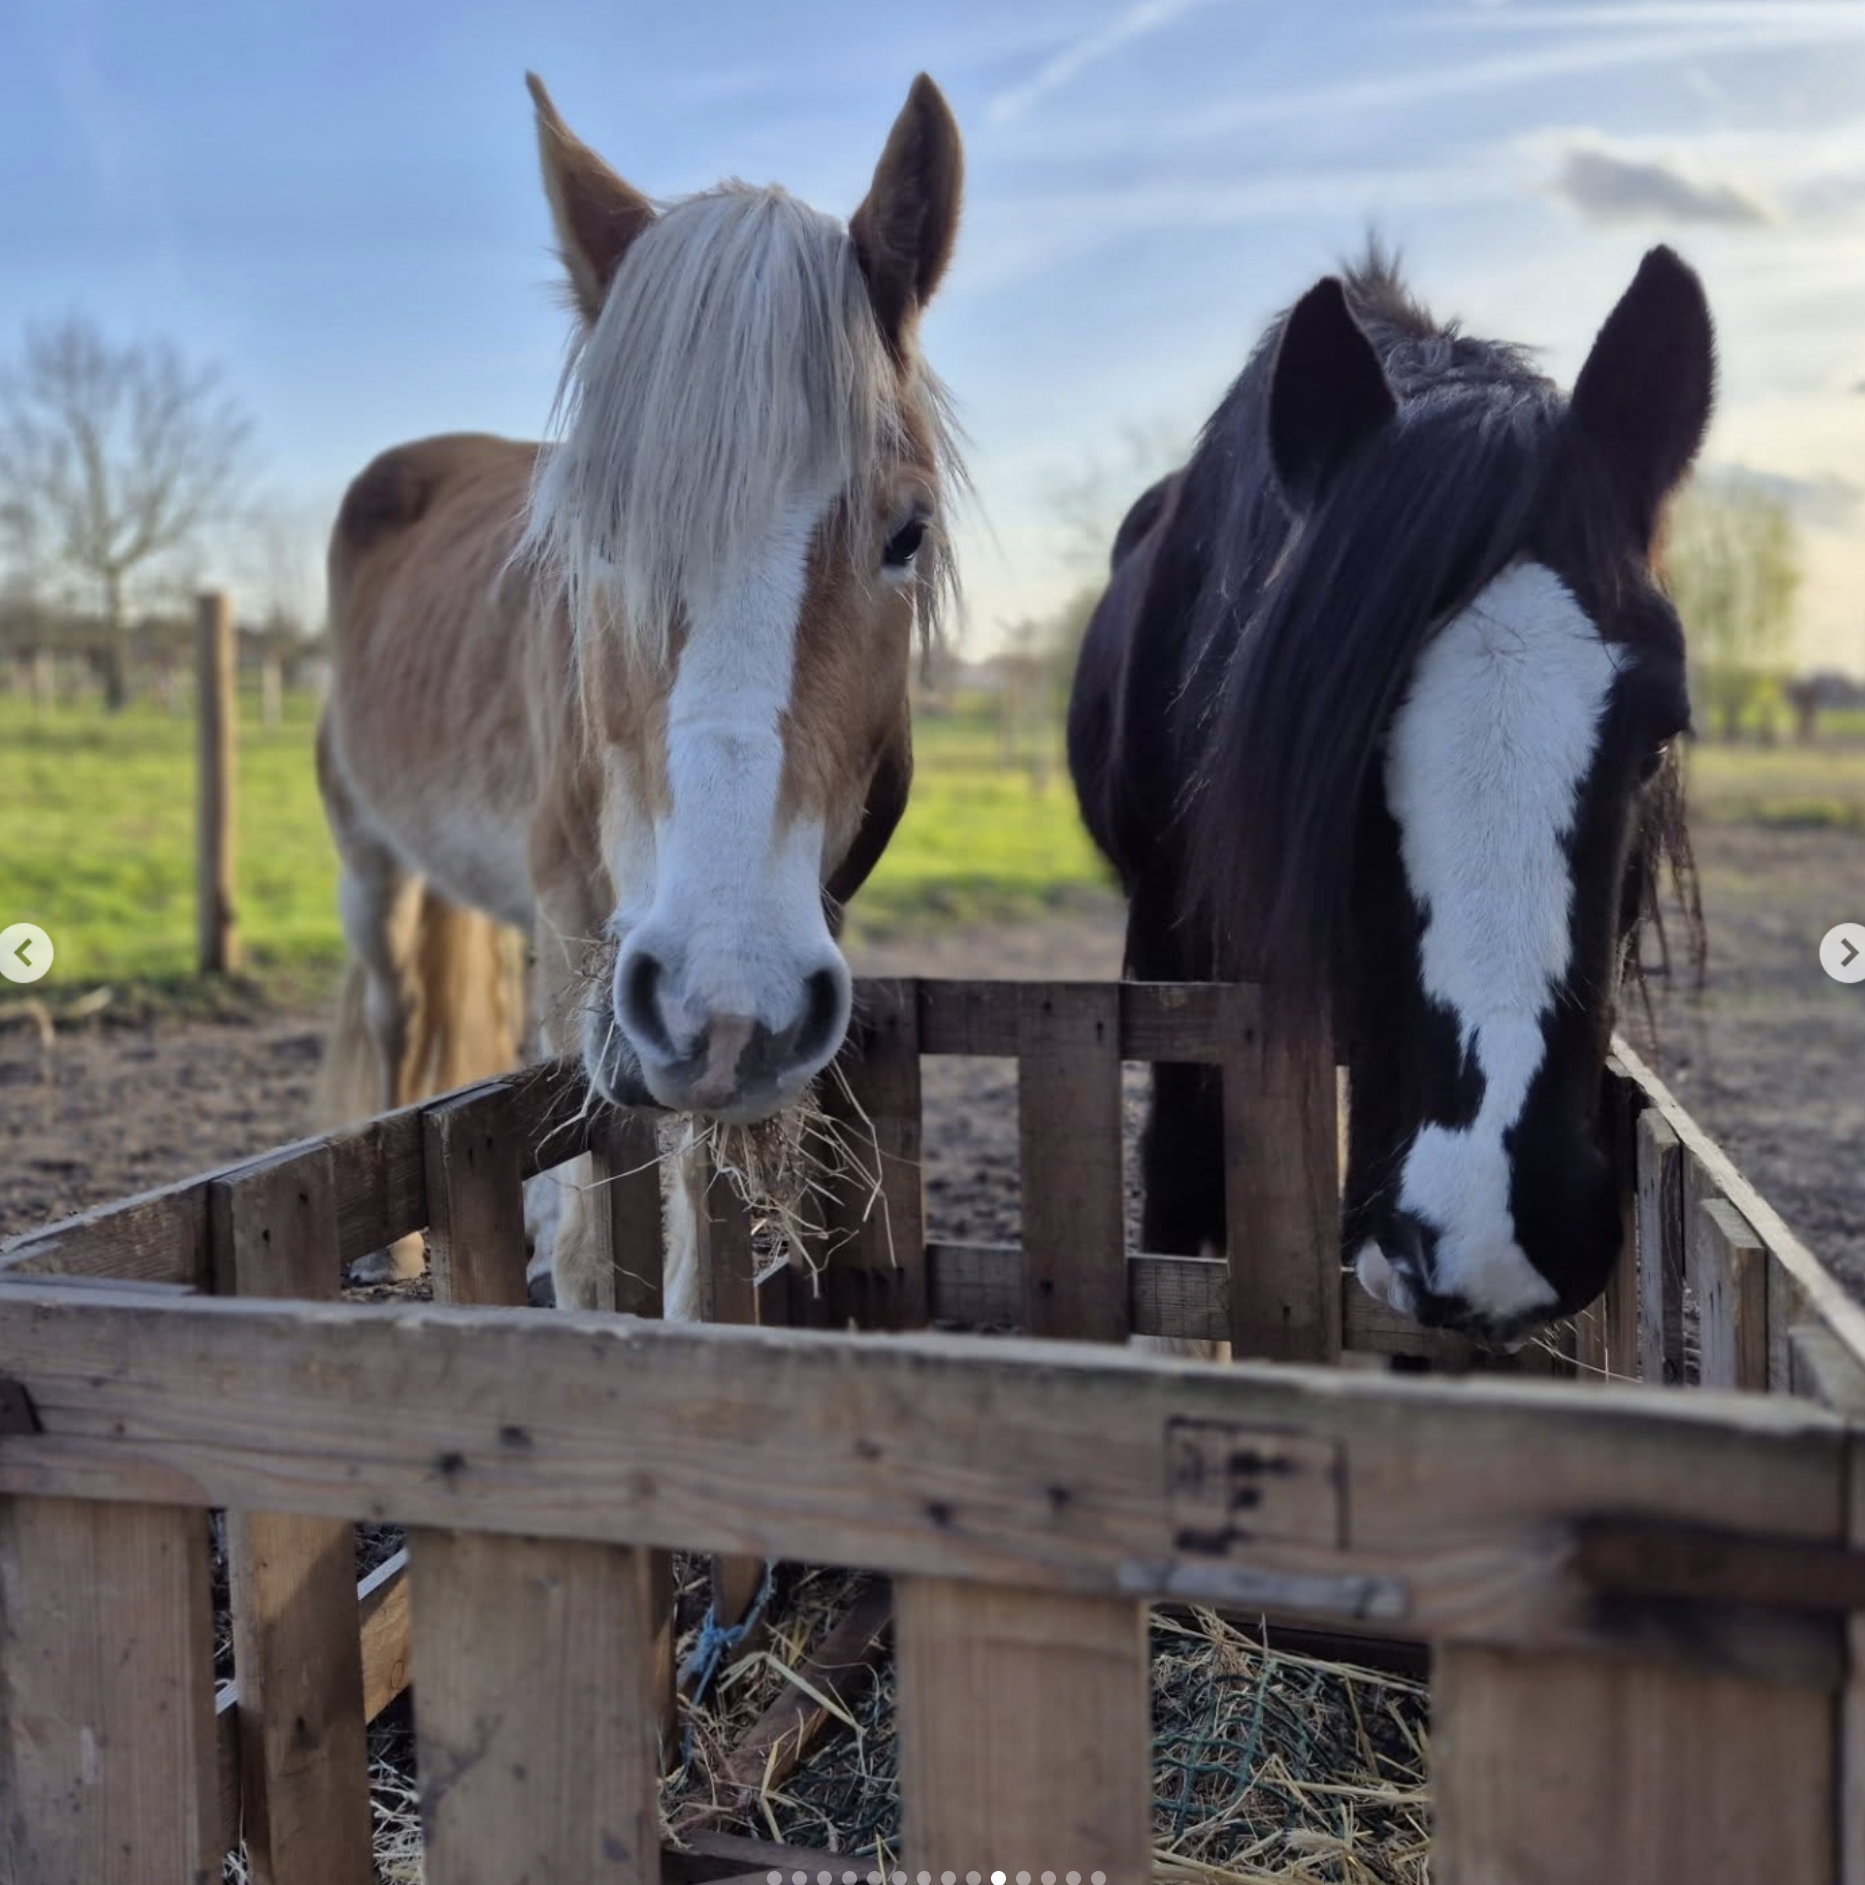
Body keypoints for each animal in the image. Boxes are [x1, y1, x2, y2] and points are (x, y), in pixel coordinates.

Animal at [316, 71, 965, 1310]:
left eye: (906, 532)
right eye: (601, 536)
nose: (726, 997)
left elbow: (696, 1244)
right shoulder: (590, 939)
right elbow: (588, 1250)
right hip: (373, 864)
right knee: (389, 1014)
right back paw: (390, 1249)